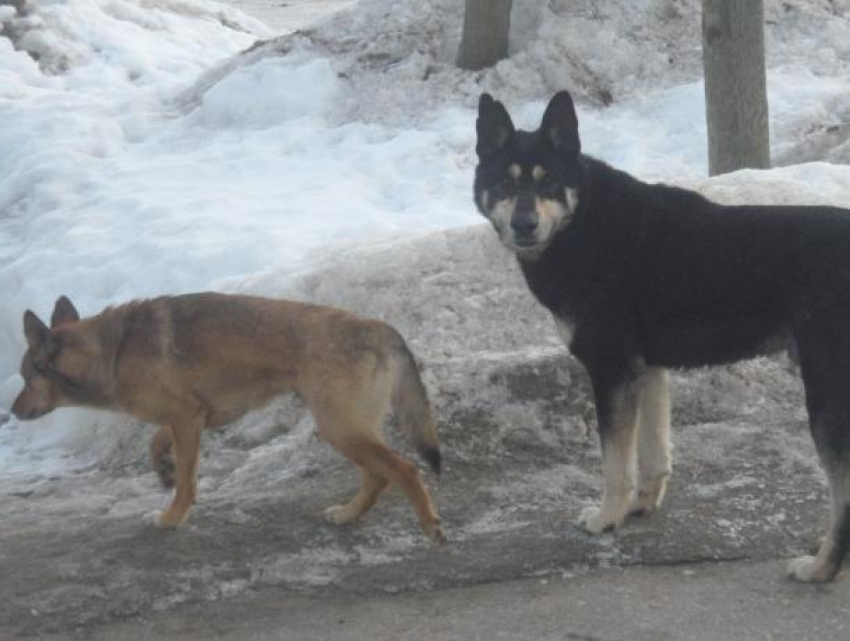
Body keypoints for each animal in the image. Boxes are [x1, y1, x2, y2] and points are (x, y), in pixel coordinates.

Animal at [11, 294, 444, 540]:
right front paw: (163, 469)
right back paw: (349, 514)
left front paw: (173, 517)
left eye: (26, 377)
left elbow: (186, 482)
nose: (12, 411)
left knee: (405, 471)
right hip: (349, 428)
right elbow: (157, 443)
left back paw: (429, 524)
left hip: (340, 428)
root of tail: (379, 328)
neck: (110, 353)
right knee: (377, 477)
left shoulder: (188, 419)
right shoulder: (192, 417)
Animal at [474, 90, 848, 580]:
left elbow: (616, 463)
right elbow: (652, 454)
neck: (583, 223)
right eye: (504, 182)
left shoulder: (612, 371)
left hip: (825, 394)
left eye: (549, 181)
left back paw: (821, 567)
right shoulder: (647, 370)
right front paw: (640, 506)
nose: (524, 224)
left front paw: (605, 518)